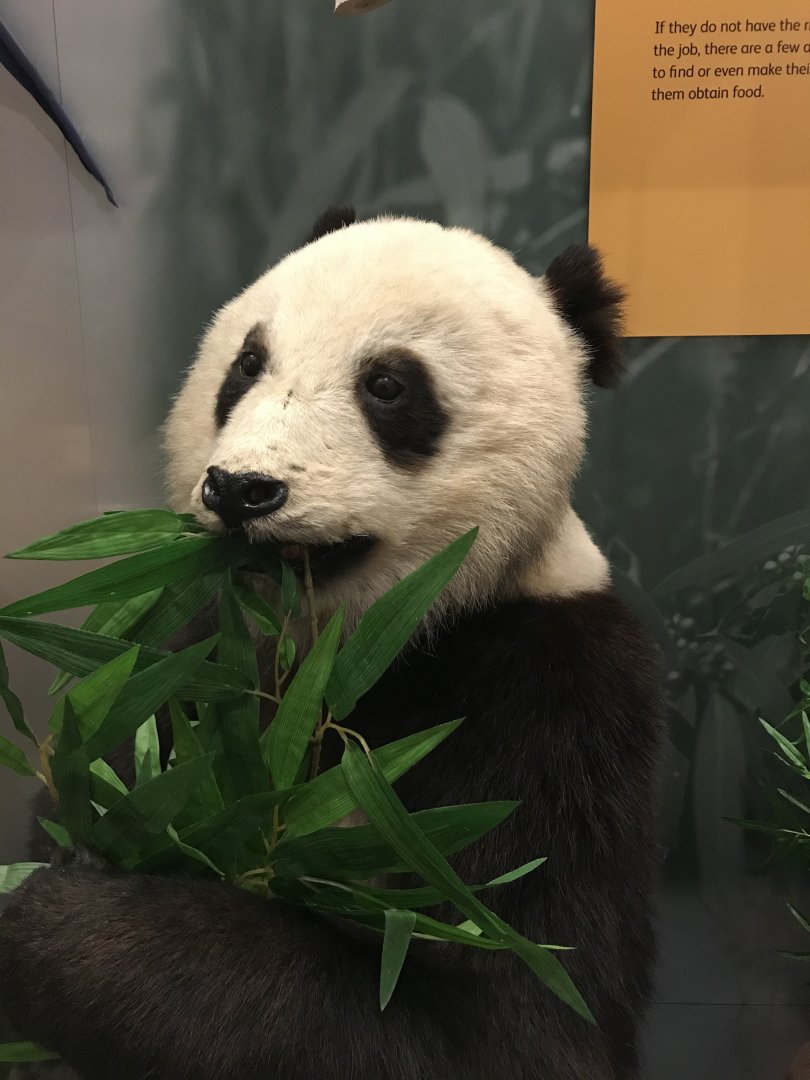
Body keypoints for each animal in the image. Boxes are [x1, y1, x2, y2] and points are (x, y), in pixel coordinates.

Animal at [0, 208, 663, 1080]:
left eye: (387, 386)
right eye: (247, 364)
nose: (242, 490)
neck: (336, 651)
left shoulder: (551, 711)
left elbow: (507, 1019)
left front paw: (55, 921)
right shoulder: (194, 643)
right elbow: (97, 757)